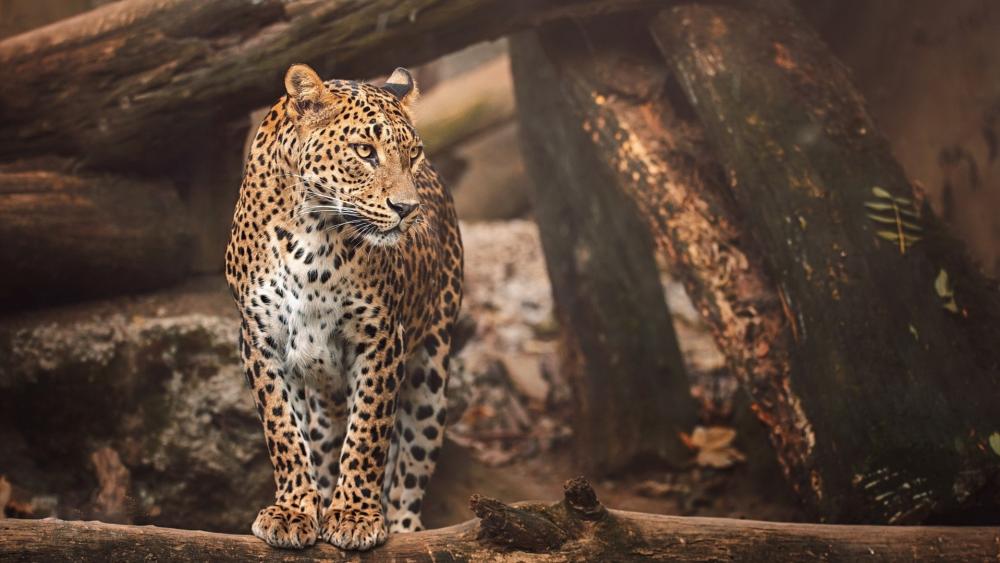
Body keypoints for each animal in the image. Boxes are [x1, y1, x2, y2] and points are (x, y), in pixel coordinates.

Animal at [225, 63, 463, 551]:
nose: (407, 209)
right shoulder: (259, 340)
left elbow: (368, 431)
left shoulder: (381, 339)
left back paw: (402, 526)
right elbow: (283, 430)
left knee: (411, 467)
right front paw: (294, 510)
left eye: (412, 155)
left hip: (431, 375)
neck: (312, 233)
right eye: (365, 151)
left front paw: (354, 515)